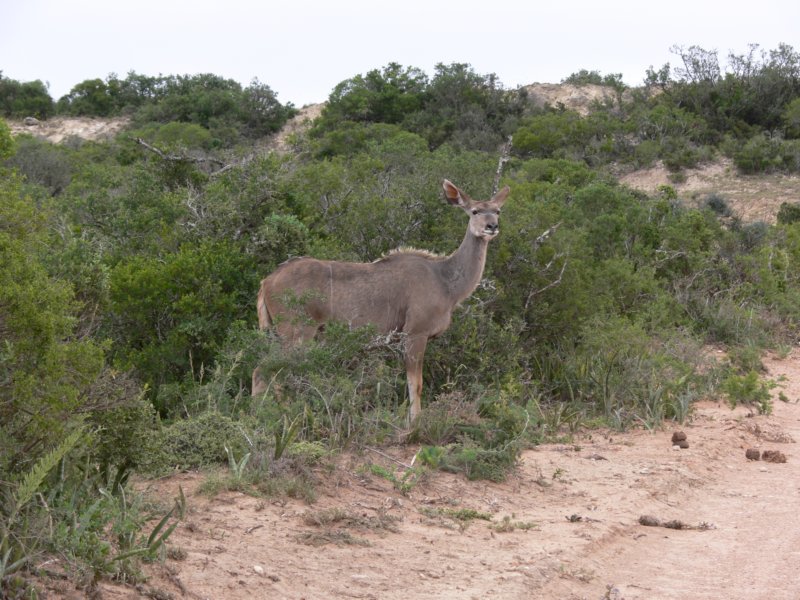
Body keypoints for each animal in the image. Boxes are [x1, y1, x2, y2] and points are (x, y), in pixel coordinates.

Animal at [253, 180, 510, 420]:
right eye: (475, 211)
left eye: (497, 211)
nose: (492, 227)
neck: (444, 281)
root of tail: (267, 281)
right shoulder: (415, 333)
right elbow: (415, 384)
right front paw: (415, 424)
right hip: (296, 331)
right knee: (269, 370)